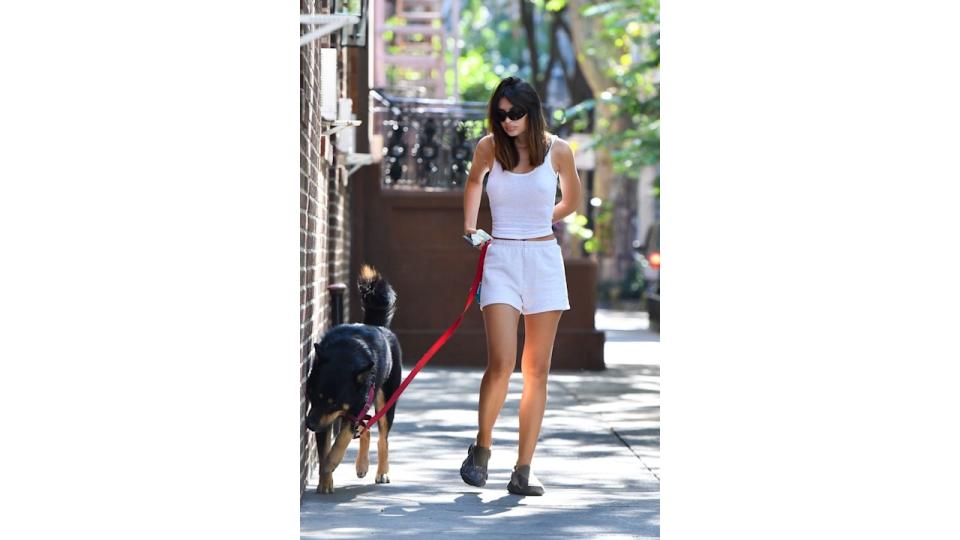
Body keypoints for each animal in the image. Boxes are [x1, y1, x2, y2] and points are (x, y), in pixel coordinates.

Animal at [306, 266, 400, 494]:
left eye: (333, 403)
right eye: (312, 395)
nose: (309, 425)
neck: (345, 353)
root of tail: (377, 326)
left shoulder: (352, 407)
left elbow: (341, 440)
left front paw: (330, 463)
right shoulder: (323, 415)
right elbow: (324, 448)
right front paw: (325, 481)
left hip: (385, 399)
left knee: (382, 438)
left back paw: (382, 472)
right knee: (365, 430)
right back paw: (362, 465)